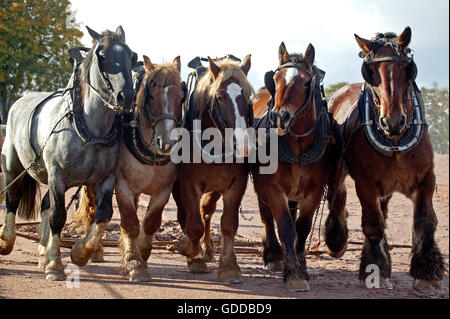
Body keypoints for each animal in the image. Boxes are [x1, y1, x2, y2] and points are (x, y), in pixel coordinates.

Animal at [0, 26, 137, 282]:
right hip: (14, 165)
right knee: (13, 199)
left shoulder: (105, 178)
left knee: (45, 204)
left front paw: (80, 253)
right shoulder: (57, 176)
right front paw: (55, 264)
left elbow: (104, 214)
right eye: (102, 56)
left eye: (131, 56)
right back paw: (7, 241)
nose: (127, 96)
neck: (90, 130)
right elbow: (58, 216)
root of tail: (21, 99)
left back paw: (42, 253)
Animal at [71, 55, 184, 282]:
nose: (167, 143)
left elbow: (150, 222)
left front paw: (142, 252)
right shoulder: (122, 185)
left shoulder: (164, 189)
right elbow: (130, 223)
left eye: (181, 98)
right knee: (92, 211)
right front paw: (134, 262)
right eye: (151, 96)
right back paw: (94, 250)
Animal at [174, 55, 255, 284]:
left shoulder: (236, 185)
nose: (244, 145)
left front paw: (229, 267)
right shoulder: (187, 184)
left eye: (247, 96)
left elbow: (228, 223)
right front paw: (191, 253)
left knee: (206, 211)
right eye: (219, 97)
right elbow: (192, 224)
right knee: (188, 216)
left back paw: (207, 247)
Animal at [251, 43, 332, 292]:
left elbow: (302, 227)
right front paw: (293, 274)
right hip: (261, 185)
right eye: (275, 79)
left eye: (307, 83)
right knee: (267, 216)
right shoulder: (273, 188)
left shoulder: (315, 190)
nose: (279, 117)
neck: (297, 146)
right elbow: (286, 226)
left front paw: (300, 267)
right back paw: (275, 256)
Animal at [326, 27, 444, 296]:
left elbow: (425, 220)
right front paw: (377, 270)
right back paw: (336, 240)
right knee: (337, 197)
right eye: (370, 72)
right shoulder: (366, 185)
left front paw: (426, 272)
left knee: (385, 211)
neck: (395, 141)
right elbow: (373, 223)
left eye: (407, 68)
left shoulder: (426, 179)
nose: (393, 121)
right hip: (338, 169)